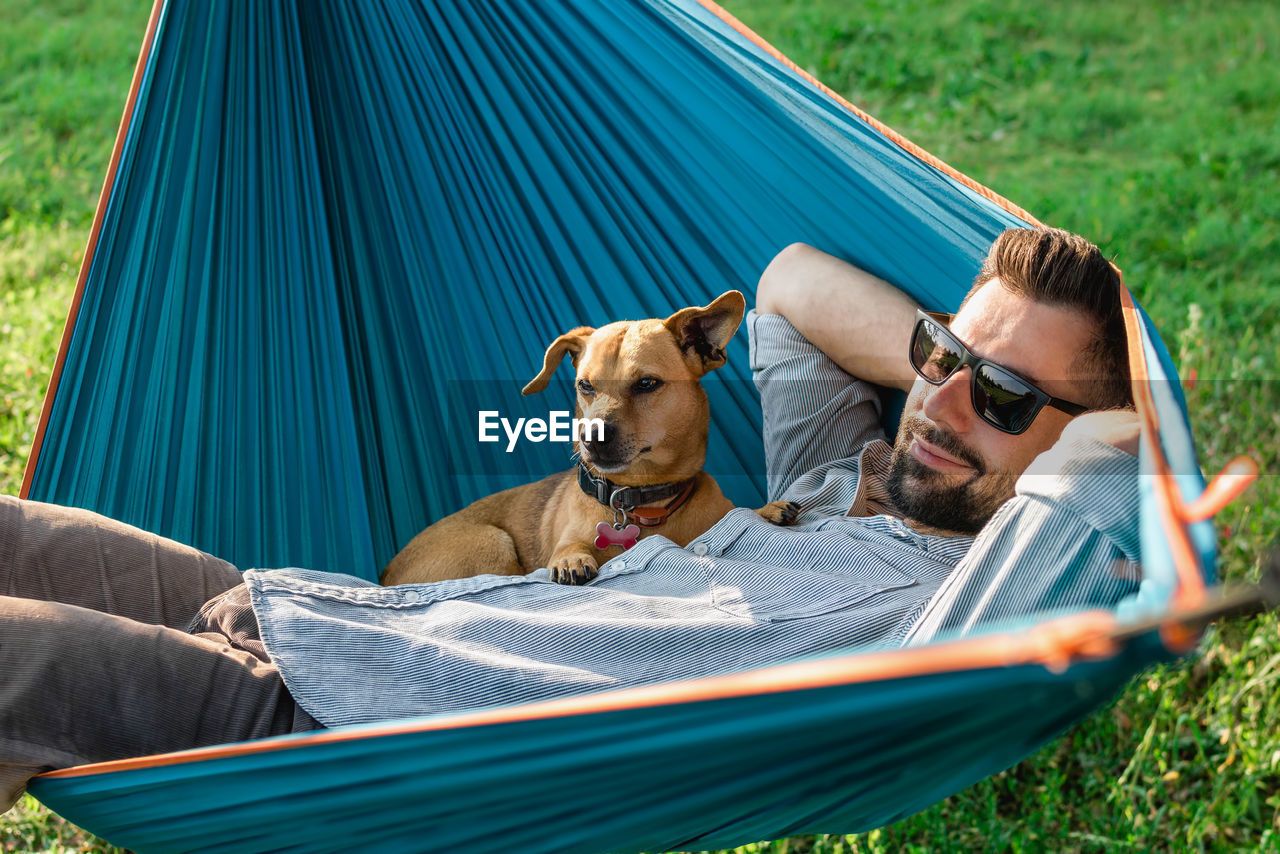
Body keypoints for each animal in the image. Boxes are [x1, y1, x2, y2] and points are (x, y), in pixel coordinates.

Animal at [378, 289, 793, 588]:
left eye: (647, 383)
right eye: (585, 385)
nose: (590, 438)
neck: (642, 503)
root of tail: (384, 572)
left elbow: (739, 512)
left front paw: (767, 509)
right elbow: (570, 546)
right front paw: (572, 558)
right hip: (492, 543)